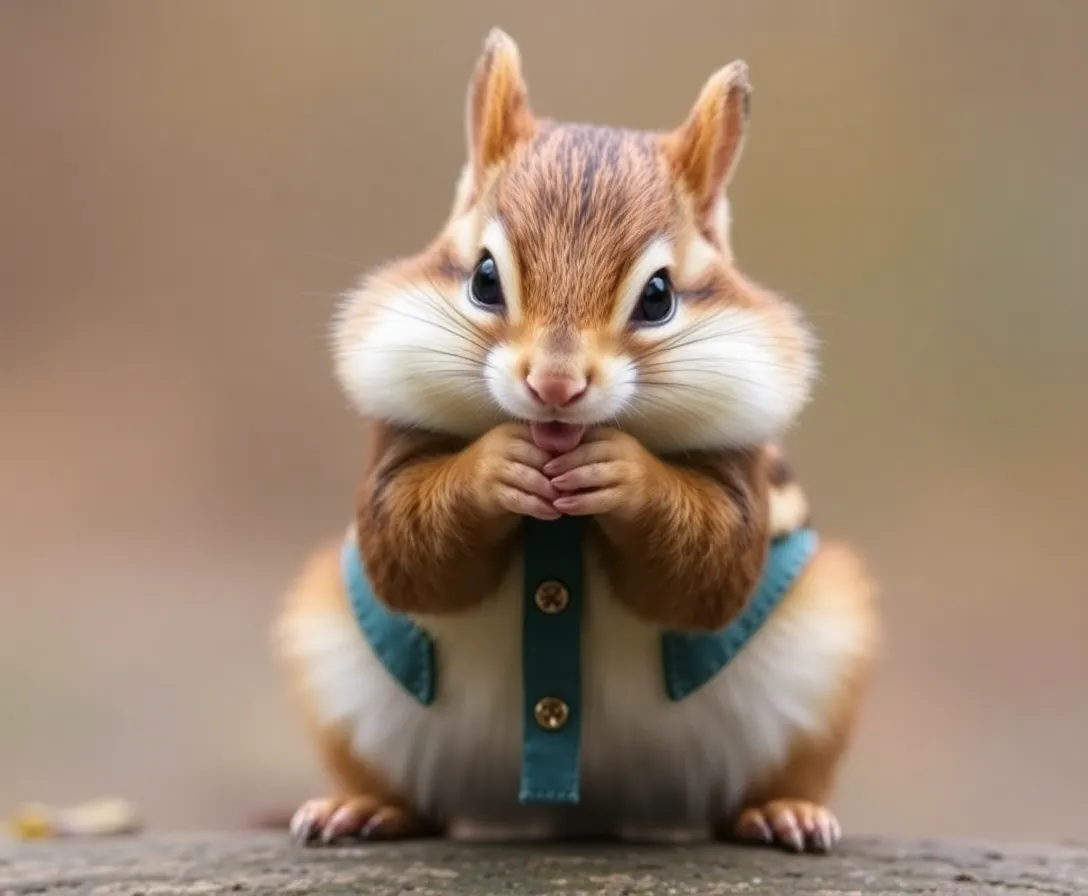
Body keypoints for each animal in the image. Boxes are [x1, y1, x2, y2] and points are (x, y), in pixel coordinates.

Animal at [273, 28, 878, 854]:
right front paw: (496, 466)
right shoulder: (394, 452)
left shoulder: (740, 474)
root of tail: (581, 810)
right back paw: (364, 808)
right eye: (484, 278)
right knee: (409, 796)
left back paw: (783, 811)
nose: (555, 385)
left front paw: (623, 471)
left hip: (820, 668)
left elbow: (710, 571)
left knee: (778, 779)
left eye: (657, 296)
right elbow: (408, 552)